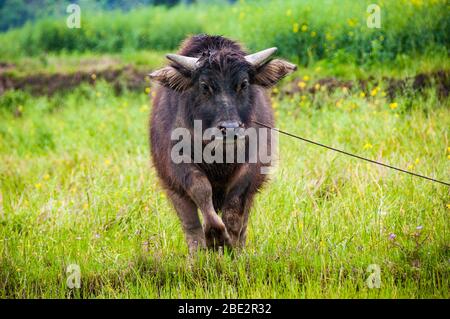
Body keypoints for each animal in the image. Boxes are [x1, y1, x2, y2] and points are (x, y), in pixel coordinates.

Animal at [148, 33, 296, 252]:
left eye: (243, 84)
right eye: (204, 86)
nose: (230, 129)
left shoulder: (252, 168)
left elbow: (234, 209)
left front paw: (228, 244)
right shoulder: (176, 164)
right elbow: (201, 189)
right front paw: (216, 236)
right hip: (173, 189)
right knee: (191, 227)